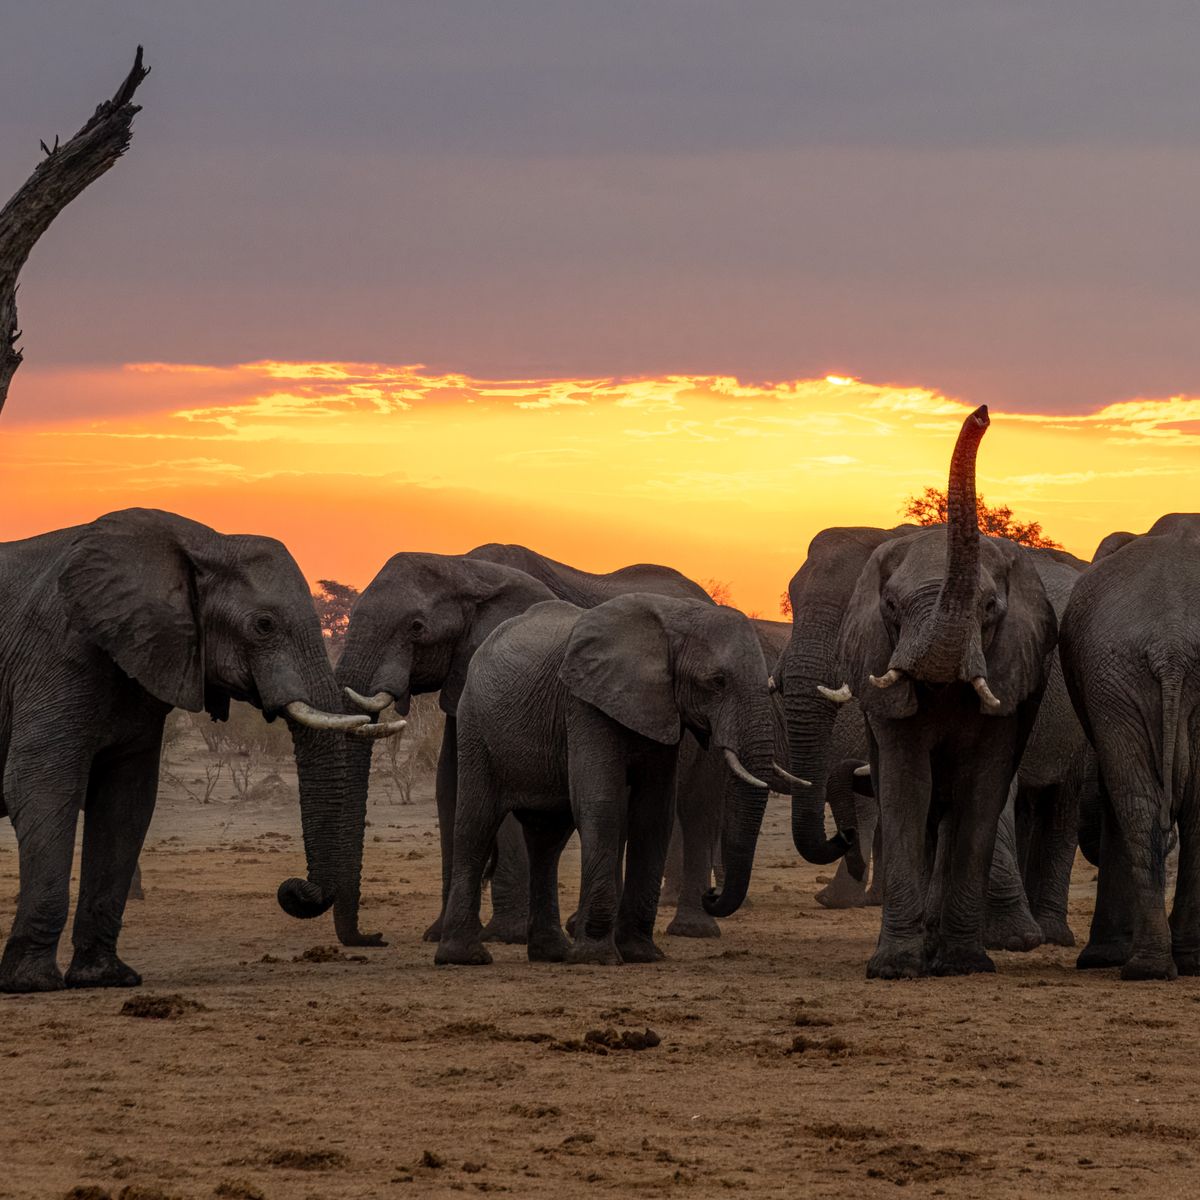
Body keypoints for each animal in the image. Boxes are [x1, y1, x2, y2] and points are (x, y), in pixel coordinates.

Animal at [0, 508, 397, 993]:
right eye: (264, 625)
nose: (292, 889)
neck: (202, 541)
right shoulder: (56, 652)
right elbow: (41, 785)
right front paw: (31, 983)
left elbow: (125, 803)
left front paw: (107, 977)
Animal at [435, 594, 779, 966]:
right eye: (717, 681)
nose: (712, 893)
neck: (674, 618)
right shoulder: (585, 704)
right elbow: (601, 803)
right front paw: (596, 957)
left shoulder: (659, 709)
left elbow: (654, 813)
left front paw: (641, 954)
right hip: (475, 725)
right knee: (476, 825)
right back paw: (465, 957)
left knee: (547, 839)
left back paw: (552, 953)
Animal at [837, 407, 1057, 977]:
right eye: (891, 607)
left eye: (990, 608)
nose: (982, 413)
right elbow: (907, 786)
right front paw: (893, 968)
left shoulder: (1011, 673)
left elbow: (982, 789)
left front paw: (964, 964)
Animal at [1060, 512, 1200, 980]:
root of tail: (1171, 645)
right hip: (1115, 675)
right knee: (1147, 806)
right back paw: (1158, 965)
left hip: (1114, 674)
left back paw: (1159, 963)